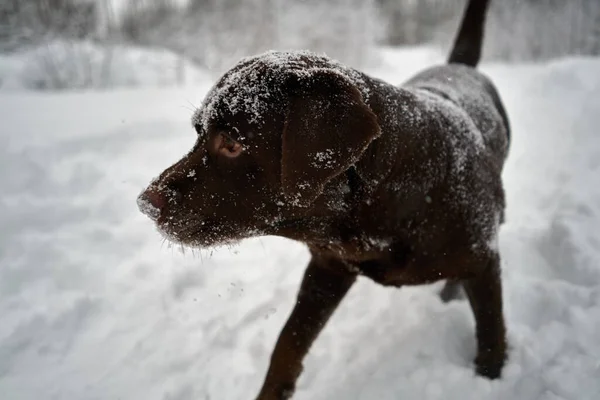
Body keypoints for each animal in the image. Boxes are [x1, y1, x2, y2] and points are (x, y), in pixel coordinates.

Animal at [138, 0, 508, 396]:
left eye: (233, 143)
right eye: (198, 132)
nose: (145, 204)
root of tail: (458, 67)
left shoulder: (484, 263)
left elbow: (491, 338)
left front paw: (491, 377)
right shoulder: (328, 269)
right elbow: (287, 344)